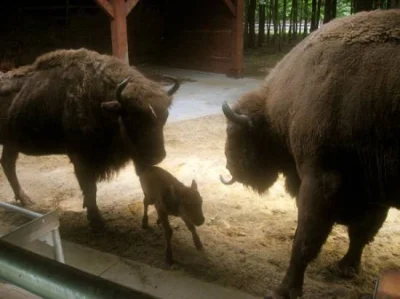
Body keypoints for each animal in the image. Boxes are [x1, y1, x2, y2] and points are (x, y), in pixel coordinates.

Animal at [0, 48, 178, 230]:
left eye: (165, 117)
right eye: (132, 118)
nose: (157, 156)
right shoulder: (81, 159)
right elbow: (90, 188)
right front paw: (97, 221)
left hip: (11, 144)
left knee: (8, 164)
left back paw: (25, 200)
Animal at [220, 8, 398, 299]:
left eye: (235, 133)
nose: (230, 169)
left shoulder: (321, 180)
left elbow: (305, 239)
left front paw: (284, 289)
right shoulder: (373, 192)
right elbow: (361, 233)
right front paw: (345, 268)